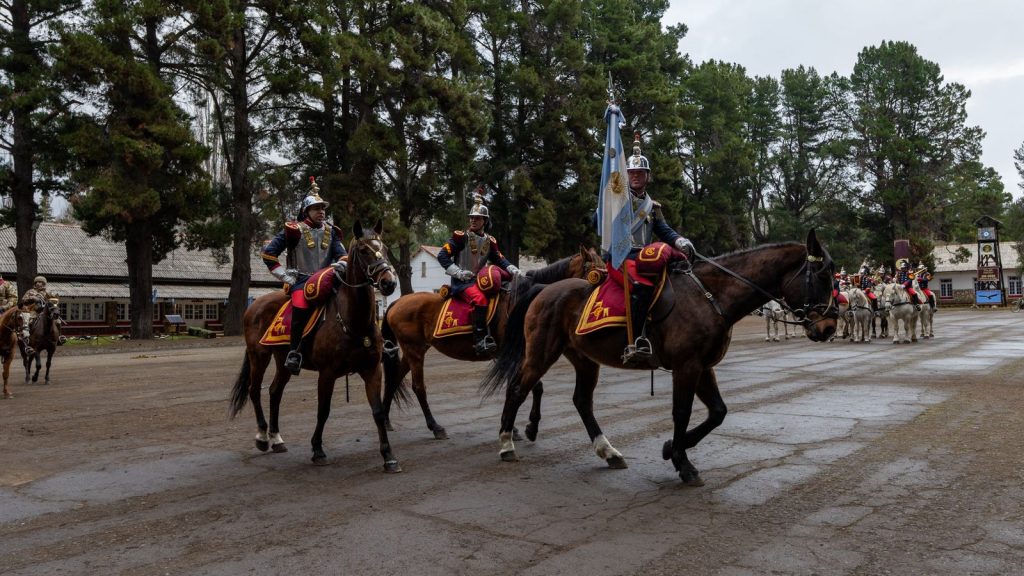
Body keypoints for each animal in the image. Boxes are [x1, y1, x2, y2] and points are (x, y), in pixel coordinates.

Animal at [229, 220, 403, 471]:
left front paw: (389, 456)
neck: (353, 320)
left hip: (282, 361)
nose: (389, 283)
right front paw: (318, 449)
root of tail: (254, 306)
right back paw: (262, 437)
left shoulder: (372, 370)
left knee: (274, 392)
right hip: (259, 355)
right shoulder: (327, 373)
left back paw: (277, 438)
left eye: (386, 249)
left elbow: (378, 412)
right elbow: (323, 411)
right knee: (254, 390)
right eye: (363, 250)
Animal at [380, 246, 604, 440]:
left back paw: (385, 420)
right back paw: (435, 427)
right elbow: (527, 386)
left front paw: (520, 426)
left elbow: (529, 387)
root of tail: (397, 302)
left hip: (413, 351)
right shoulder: (511, 354)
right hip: (415, 351)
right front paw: (521, 427)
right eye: (595, 272)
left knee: (394, 379)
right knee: (418, 387)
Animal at [481, 230, 837, 485]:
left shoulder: (703, 367)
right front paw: (682, 461)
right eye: (821, 276)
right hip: (541, 353)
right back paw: (507, 443)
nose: (830, 327)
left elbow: (718, 413)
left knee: (581, 401)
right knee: (518, 388)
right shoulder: (687, 366)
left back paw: (607, 451)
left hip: (584, 358)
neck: (710, 296)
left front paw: (672, 449)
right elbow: (682, 412)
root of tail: (545, 289)